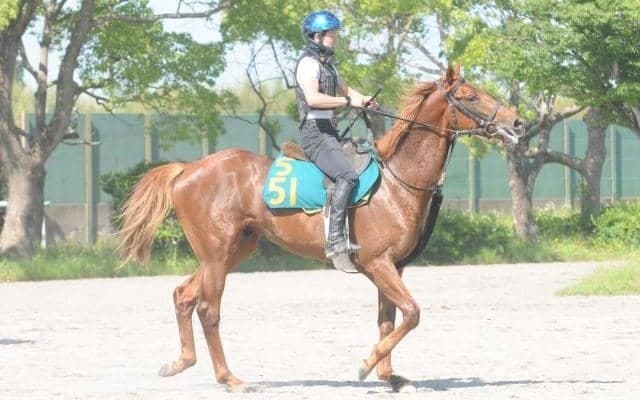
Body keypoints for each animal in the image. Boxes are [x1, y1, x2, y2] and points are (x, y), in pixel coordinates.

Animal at [117, 65, 524, 392]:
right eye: (471, 96)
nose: (517, 123)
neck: (396, 182)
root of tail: (187, 169)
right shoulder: (378, 264)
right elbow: (411, 313)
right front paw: (366, 365)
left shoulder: (392, 267)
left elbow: (389, 320)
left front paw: (389, 376)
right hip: (217, 254)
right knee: (207, 309)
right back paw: (230, 378)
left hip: (234, 249)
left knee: (184, 295)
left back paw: (179, 362)